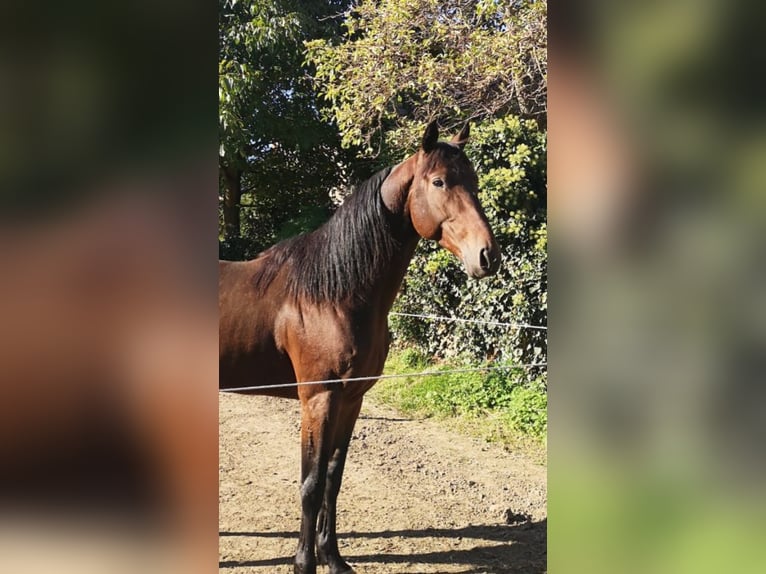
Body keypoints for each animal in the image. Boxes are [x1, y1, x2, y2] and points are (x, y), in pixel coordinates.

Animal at [219, 119, 500, 572]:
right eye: (439, 181)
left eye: (473, 182)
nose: (488, 256)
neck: (335, 292)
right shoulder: (318, 399)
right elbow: (311, 484)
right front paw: (304, 563)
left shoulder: (351, 400)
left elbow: (334, 480)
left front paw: (333, 559)